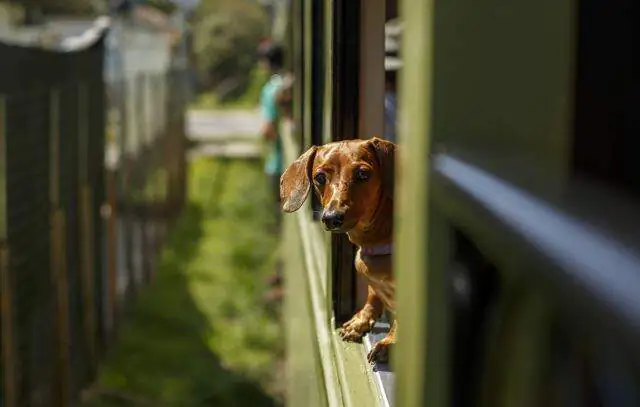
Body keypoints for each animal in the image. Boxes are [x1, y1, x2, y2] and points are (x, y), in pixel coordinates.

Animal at [280, 137, 396, 364]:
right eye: (319, 177)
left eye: (363, 173)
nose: (331, 218)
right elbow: (373, 295)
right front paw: (360, 321)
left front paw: (389, 343)